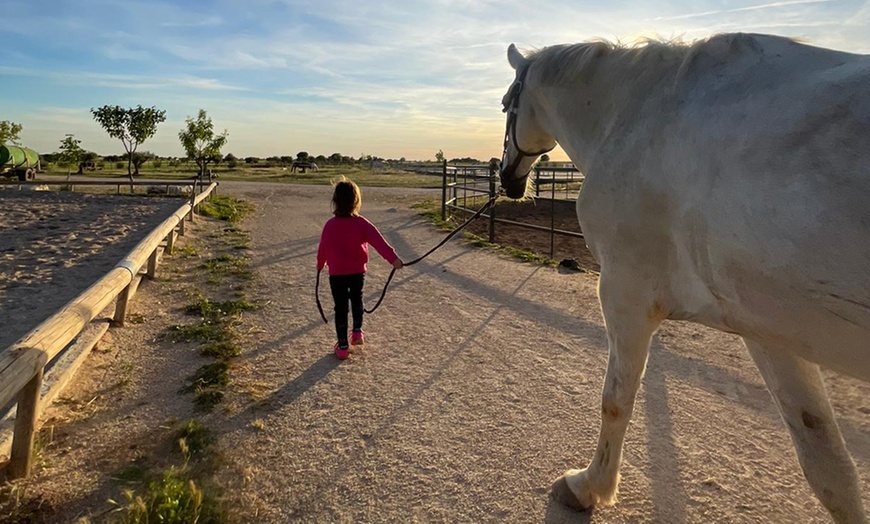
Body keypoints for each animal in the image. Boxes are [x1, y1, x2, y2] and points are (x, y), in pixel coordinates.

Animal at [500, 33, 870, 524]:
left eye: (507, 104)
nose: (506, 177)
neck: (635, 114)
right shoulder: (772, 335)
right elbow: (829, 467)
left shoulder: (625, 294)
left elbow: (615, 400)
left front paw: (587, 487)